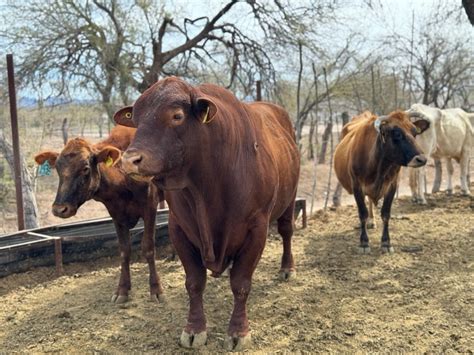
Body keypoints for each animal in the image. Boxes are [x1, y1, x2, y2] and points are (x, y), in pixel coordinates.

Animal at [34, 126, 164, 304]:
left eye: (85, 168)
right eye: (58, 170)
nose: (60, 209)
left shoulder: (150, 206)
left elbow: (149, 248)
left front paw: (156, 289)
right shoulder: (116, 215)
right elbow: (124, 251)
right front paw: (122, 290)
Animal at [114, 76, 300, 352]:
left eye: (177, 116)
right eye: (135, 119)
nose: (129, 161)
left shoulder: (257, 228)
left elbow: (241, 284)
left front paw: (238, 331)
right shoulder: (179, 228)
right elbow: (194, 283)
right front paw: (194, 329)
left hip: (289, 199)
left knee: (287, 231)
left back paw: (287, 268)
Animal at [334, 110, 430, 253]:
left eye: (414, 132)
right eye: (397, 133)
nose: (421, 159)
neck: (378, 165)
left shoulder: (392, 185)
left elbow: (385, 213)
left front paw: (386, 243)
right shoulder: (356, 186)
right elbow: (362, 213)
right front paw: (364, 243)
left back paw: (372, 221)